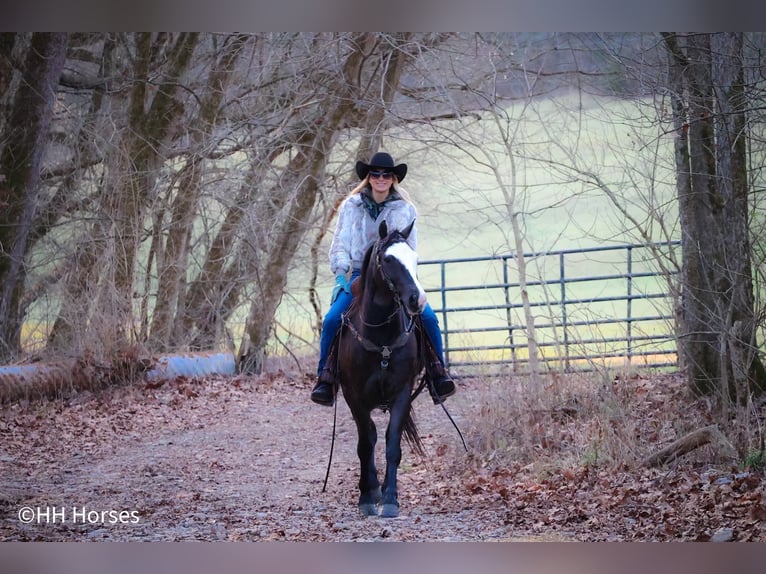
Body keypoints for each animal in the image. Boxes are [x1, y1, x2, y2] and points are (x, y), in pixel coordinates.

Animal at [335, 219, 427, 518]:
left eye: (415, 258)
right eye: (388, 259)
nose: (418, 300)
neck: (381, 337)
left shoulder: (402, 394)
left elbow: (392, 444)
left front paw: (390, 499)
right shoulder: (354, 397)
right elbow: (365, 444)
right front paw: (366, 497)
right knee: (370, 437)